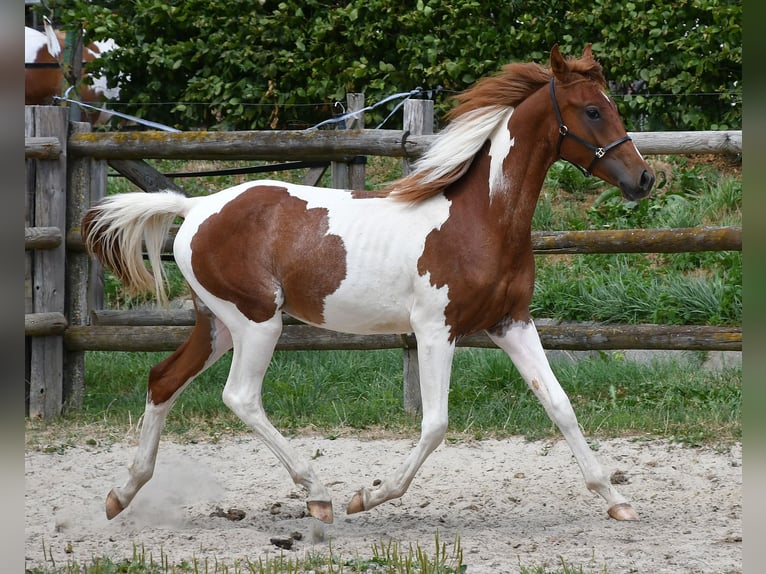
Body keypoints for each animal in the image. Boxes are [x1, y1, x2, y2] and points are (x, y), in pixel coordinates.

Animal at [82, 45, 654, 525]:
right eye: (592, 110)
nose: (644, 179)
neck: (481, 219)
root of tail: (196, 206)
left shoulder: (510, 322)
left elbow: (560, 406)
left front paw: (617, 499)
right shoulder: (435, 330)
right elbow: (435, 424)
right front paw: (368, 496)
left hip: (218, 323)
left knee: (163, 379)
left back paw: (121, 494)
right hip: (257, 323)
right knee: (240, 396)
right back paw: (319, 494)